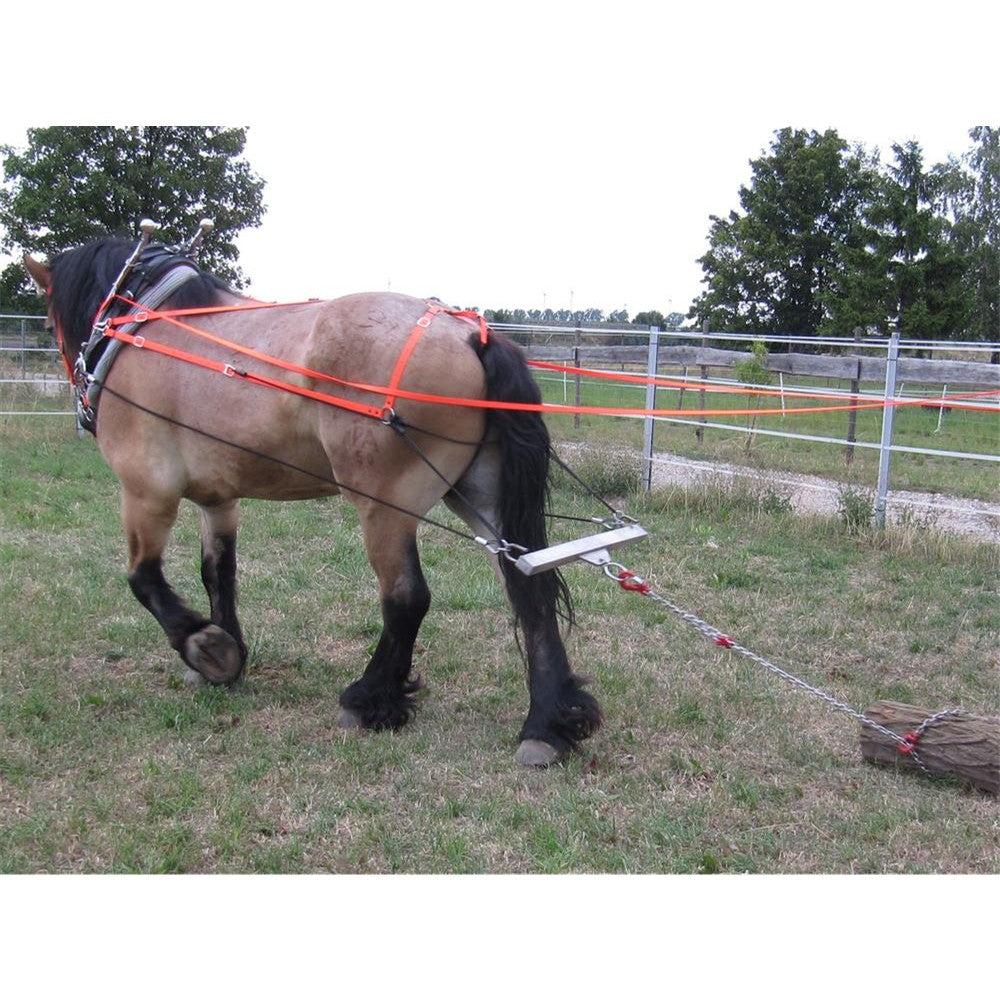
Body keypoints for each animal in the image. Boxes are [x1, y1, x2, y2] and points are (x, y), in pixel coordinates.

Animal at [23, 236, 602, 767]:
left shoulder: (147, 489)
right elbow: (218, 573)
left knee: (407, 599)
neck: (145, 328)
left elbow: (143, 578)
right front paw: (228, 650)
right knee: (531, 587)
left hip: (383, 507)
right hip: (482, 497)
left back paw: (368, 700)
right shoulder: (218, 500)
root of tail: (468, 334)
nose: (79, 396)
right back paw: (547, 724)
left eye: (51, 321)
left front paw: (206, 648)